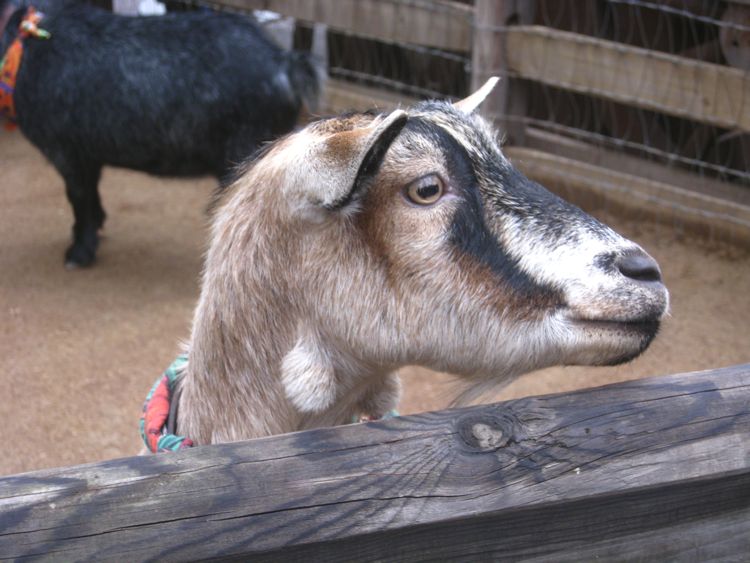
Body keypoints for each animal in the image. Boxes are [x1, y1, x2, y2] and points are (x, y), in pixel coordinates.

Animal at [0, 1, 318, 268]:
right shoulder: (89, 155)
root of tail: (284, 61)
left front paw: (77, 255)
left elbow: (77, 198)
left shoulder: (65, 150)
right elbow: (92, 194)